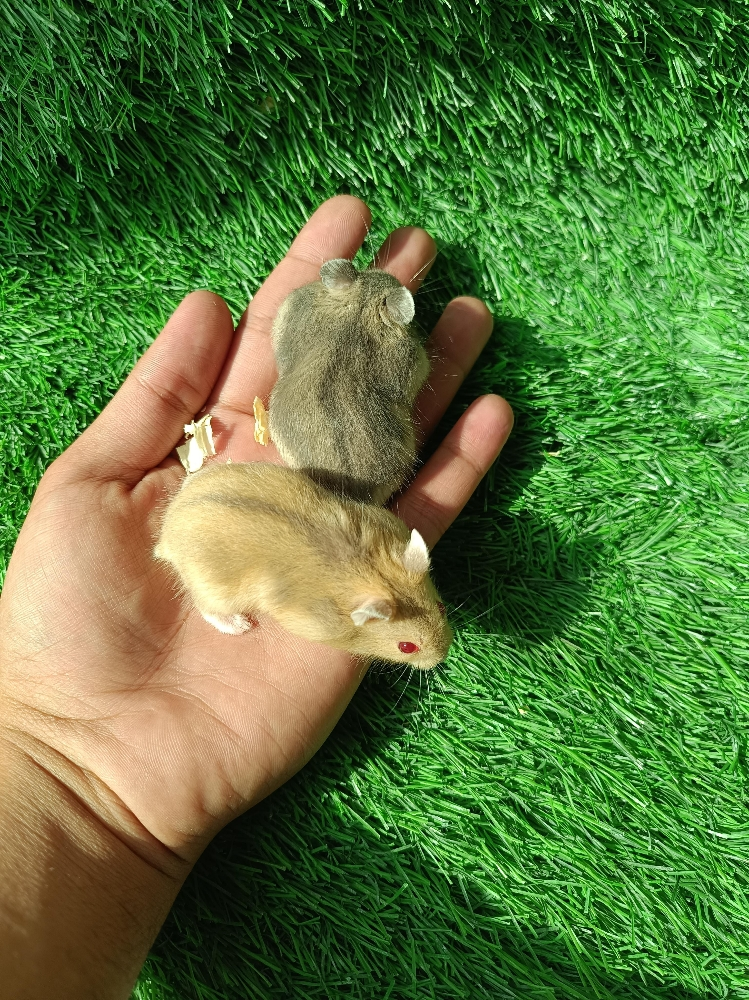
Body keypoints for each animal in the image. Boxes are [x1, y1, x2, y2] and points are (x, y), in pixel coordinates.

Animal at [155, 462, 452, 670]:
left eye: (441, 607)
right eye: (406, 647)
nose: (443, 656)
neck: (369, 573)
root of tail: (166, 533)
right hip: (214, 589)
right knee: (208, 610)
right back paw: (242, 626)